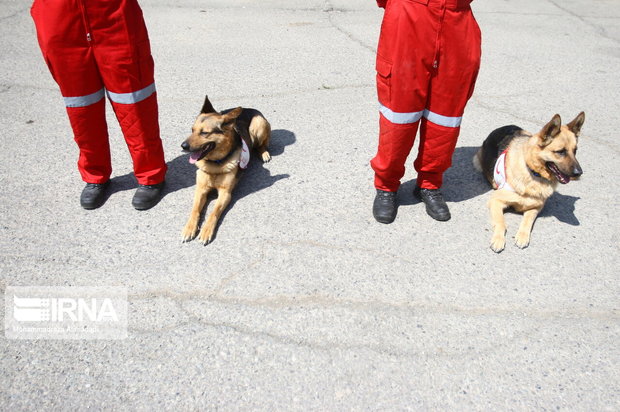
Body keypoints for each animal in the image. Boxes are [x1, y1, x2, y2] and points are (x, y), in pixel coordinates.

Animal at [180, 96, 270, 245]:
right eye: (192, 130)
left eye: (204, 133)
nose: (183, 146)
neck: (215, 164)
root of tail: (249, 108)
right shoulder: (201, 189)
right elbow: (195, 210)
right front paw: (189, 228)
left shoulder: (225, 193)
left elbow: (214, 212)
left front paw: (206, 230)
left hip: (258, 124)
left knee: (261, 145)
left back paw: (264, 153)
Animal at [474, 113, 588, 254]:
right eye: (560, 151)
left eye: (575, 151)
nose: (579, 173)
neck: (533, 173)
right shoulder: (496, 200)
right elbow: (501, 223)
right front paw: (498, 239)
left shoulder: (536, 208)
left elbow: (527, 221)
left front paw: (522, 237)